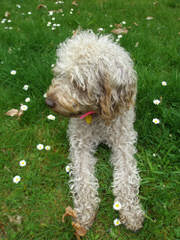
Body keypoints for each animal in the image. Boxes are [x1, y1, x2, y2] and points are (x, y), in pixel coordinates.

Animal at [45, 30, 144, 238]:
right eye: (60, 74)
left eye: (78, 83)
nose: (48, 101)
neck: (98, 115)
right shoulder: (81, 145)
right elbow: (83, 180)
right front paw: (84, 213)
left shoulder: (123, 143)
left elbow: (127, 178)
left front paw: (131, 212)